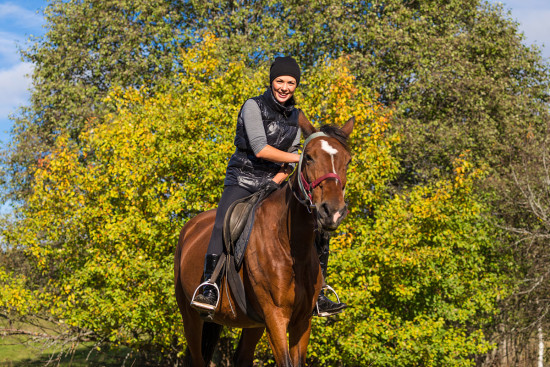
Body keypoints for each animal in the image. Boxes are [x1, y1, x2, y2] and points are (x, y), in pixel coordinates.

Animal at [175, 113, 356, 367]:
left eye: (347, 161)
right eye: (309, 157)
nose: (332, 211)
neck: (292, 248)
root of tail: (190, 229)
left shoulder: (302, 321)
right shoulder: (276, 316)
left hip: (253, 323)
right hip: (191, 318)